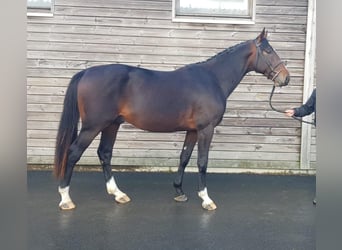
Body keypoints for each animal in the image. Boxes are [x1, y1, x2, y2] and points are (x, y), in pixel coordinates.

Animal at [54, 28, 290, 210]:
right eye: (268, 51)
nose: (286, 78)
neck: (212, 79)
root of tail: (85, 73)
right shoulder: (206, 129)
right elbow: (202, 161)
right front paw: (206, 199)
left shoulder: (193, 130)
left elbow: (184, 157)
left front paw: (179, 191)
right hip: (93, 126)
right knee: (73, 153)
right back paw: (65, 198)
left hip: (111, 125)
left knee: (104, 153)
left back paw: (118, 194)